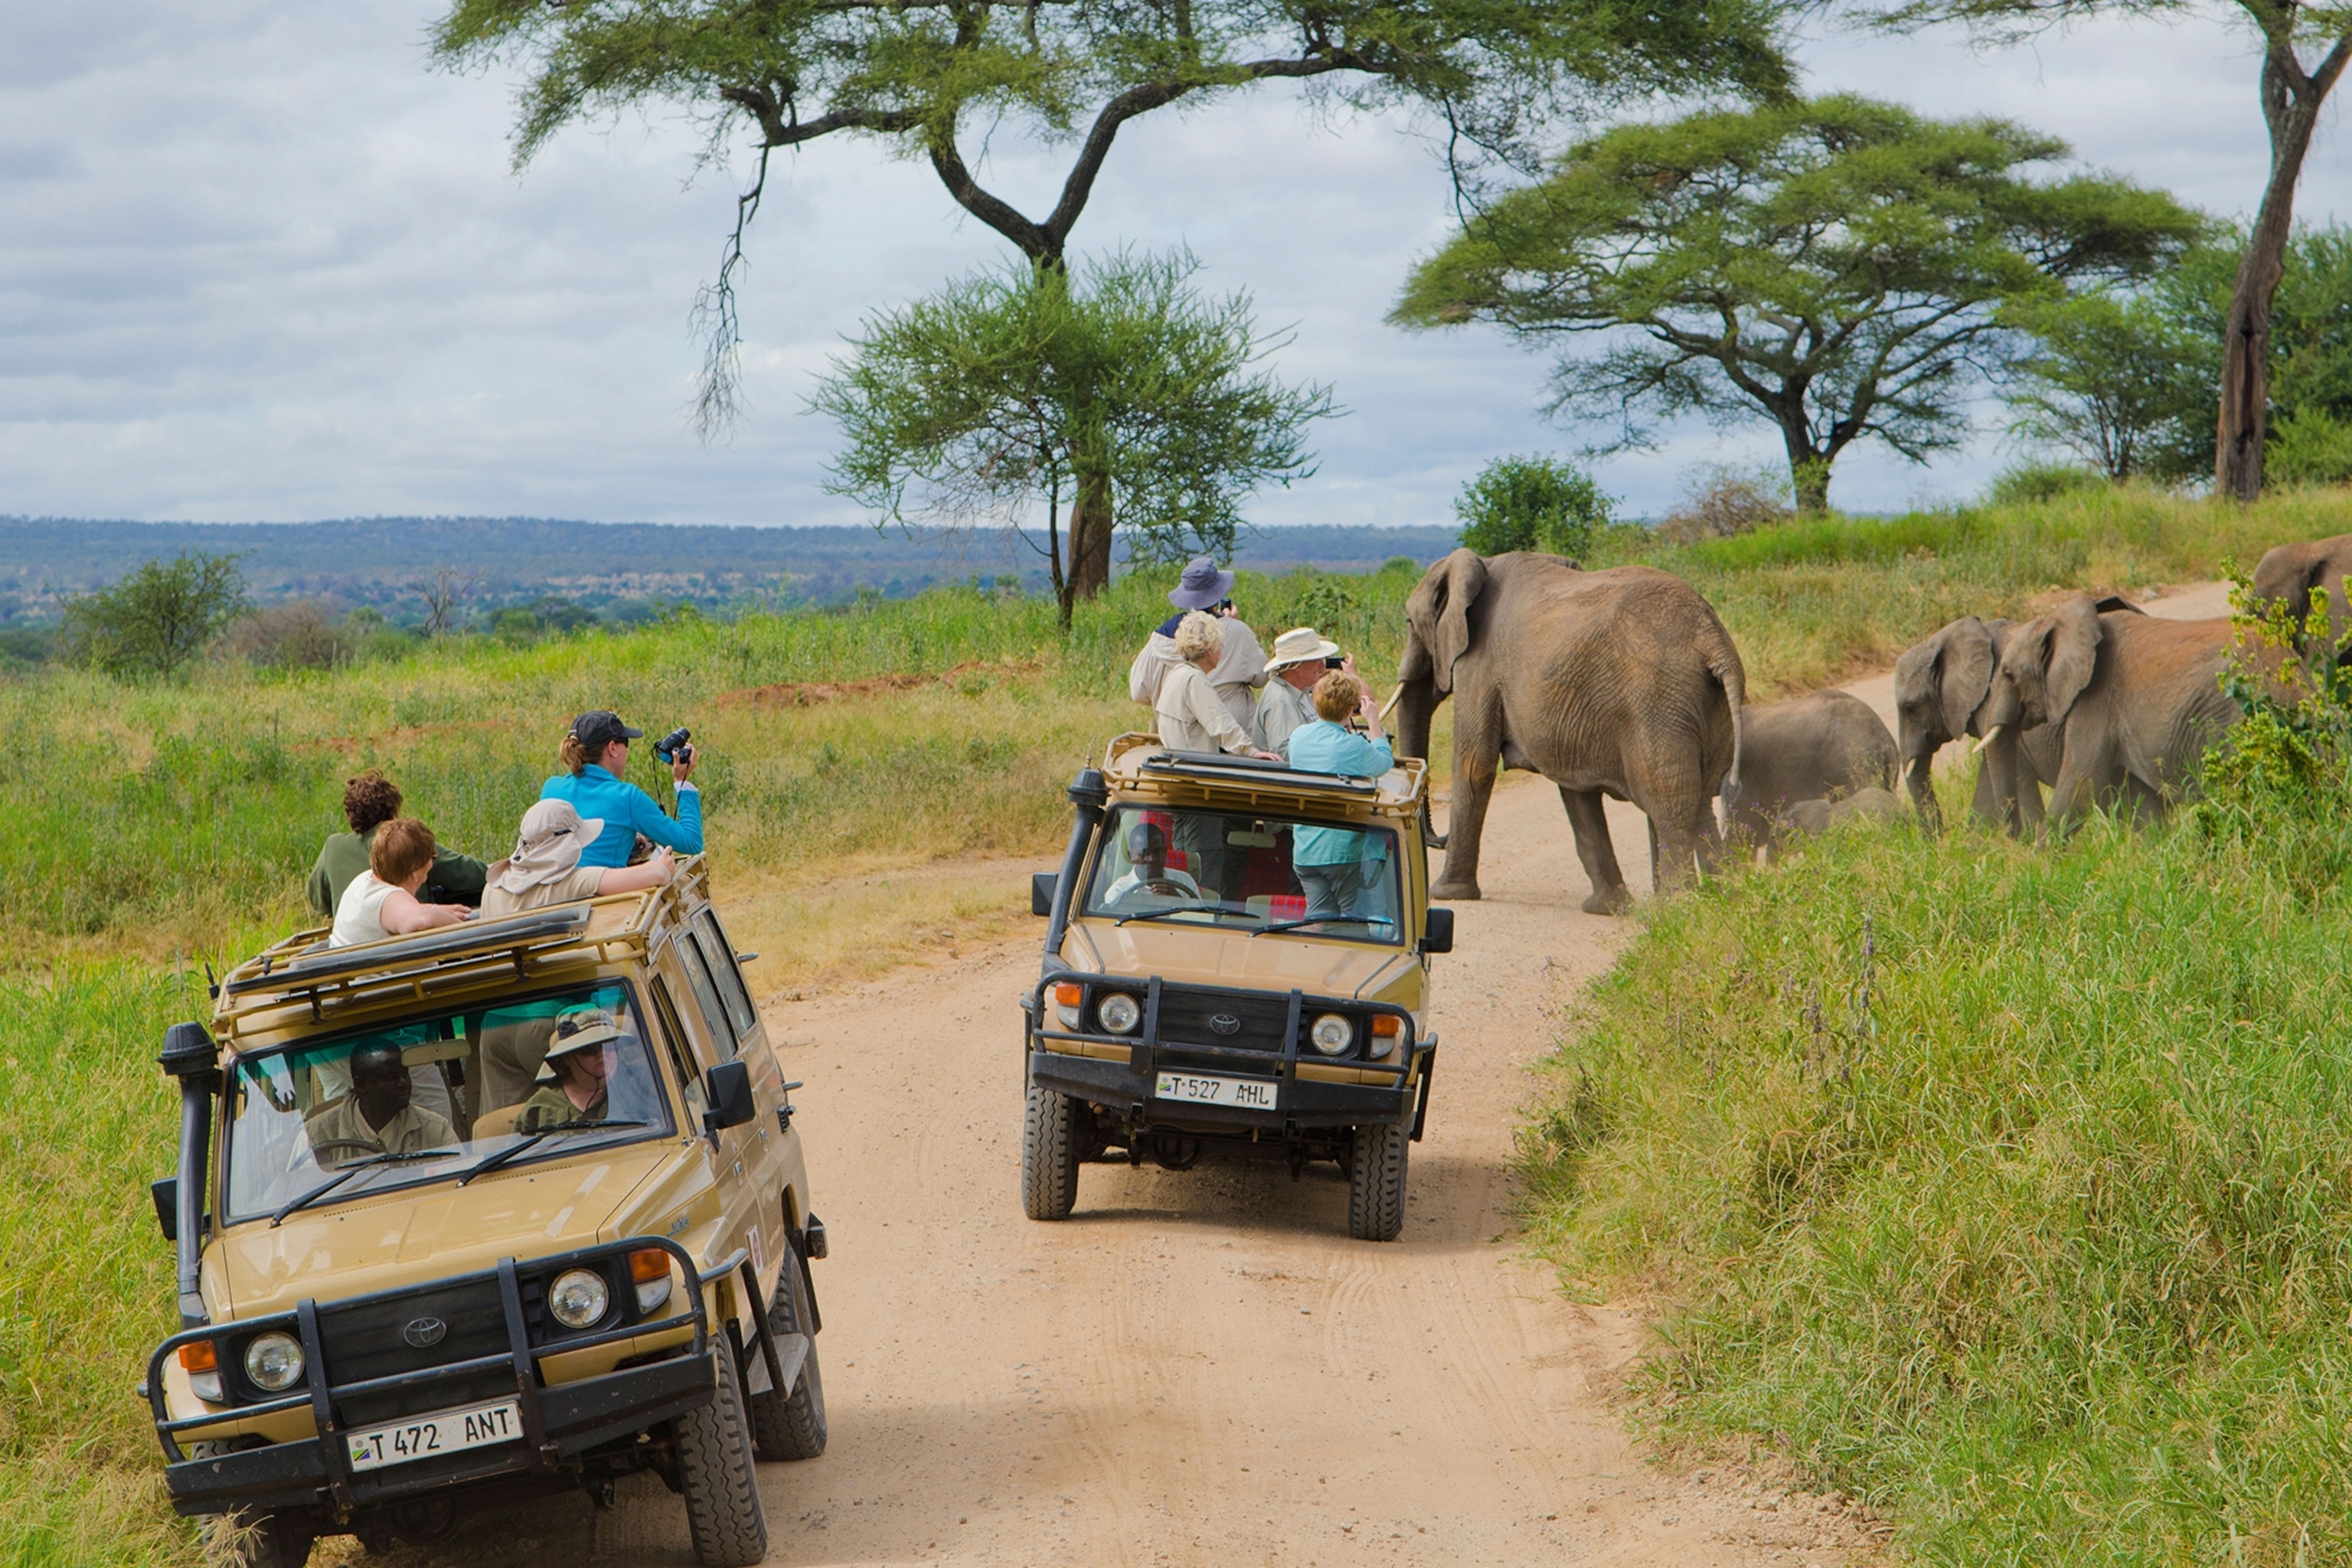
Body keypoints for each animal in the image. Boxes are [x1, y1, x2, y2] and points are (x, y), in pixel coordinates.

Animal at [1392, 549, 1746, 914]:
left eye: (1409, 624)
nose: (1437, 838)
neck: (1482, 564)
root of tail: (1714, 642)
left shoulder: (1480, 665)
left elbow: (1474, 765)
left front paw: (1446, 894)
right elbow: (1575, 789)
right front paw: (1606, 907)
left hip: (1659, 702)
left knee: (1669, 802)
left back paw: (1677, 905)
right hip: (1707, 707)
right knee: (1701, 802)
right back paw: (1720, 896)